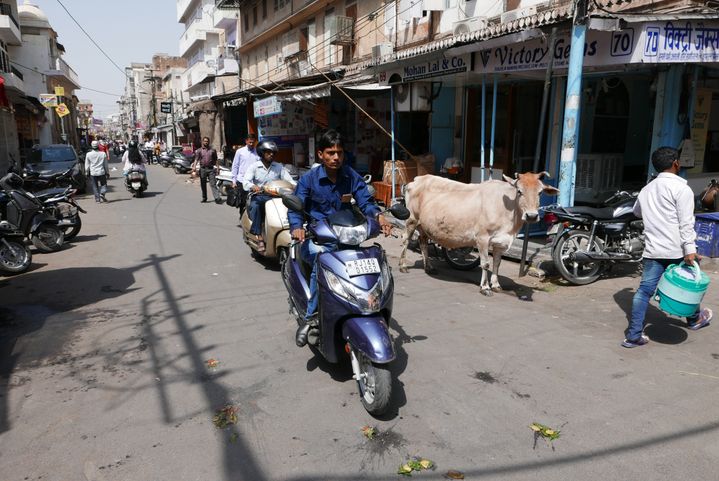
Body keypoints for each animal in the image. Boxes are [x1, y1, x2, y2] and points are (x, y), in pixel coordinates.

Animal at [396, 171, 560, 294]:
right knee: (405, 239)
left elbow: (497, 263)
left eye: (540, 192)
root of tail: (417, 179)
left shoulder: (501, 241)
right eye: (519, 191)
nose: (531, 216)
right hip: (411, 218)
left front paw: (496, 285)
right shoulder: (482, 238)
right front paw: (485, 287)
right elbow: (485, 264)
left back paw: (429, 267)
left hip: (424, 225)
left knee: (423, 242)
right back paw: (403, 266)